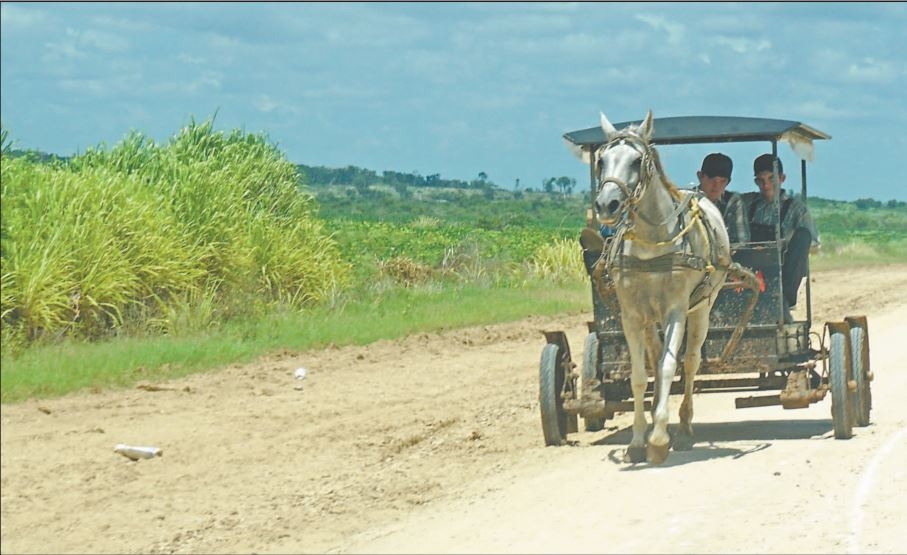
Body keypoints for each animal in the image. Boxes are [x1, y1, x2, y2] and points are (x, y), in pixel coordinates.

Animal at [588, 111, 732, 462]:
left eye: (637, 160)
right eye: (601, 160)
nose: (607, 205)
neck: (652, 243)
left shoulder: (676, 310)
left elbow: (669, 367)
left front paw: (659, 439)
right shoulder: (630, 315)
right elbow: (640, 375)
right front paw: (639, 439)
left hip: (702, 309)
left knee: (690, 362)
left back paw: (684, 428)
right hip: (649, 319)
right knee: (655, 358)